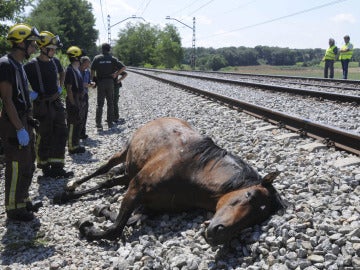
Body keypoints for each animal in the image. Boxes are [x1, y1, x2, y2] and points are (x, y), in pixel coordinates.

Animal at [55, 117, 284, 246]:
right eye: (248, 194)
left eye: (257, 218)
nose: (218, 233)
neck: (194, 172)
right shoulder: (136, 188)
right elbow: (115, 229)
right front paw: (86, 227)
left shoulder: (150, 206)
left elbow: (129, 220)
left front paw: (101, 210)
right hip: (124, 153)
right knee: (103, 169)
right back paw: (67, 191)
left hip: (130, 171)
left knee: (109, 182)